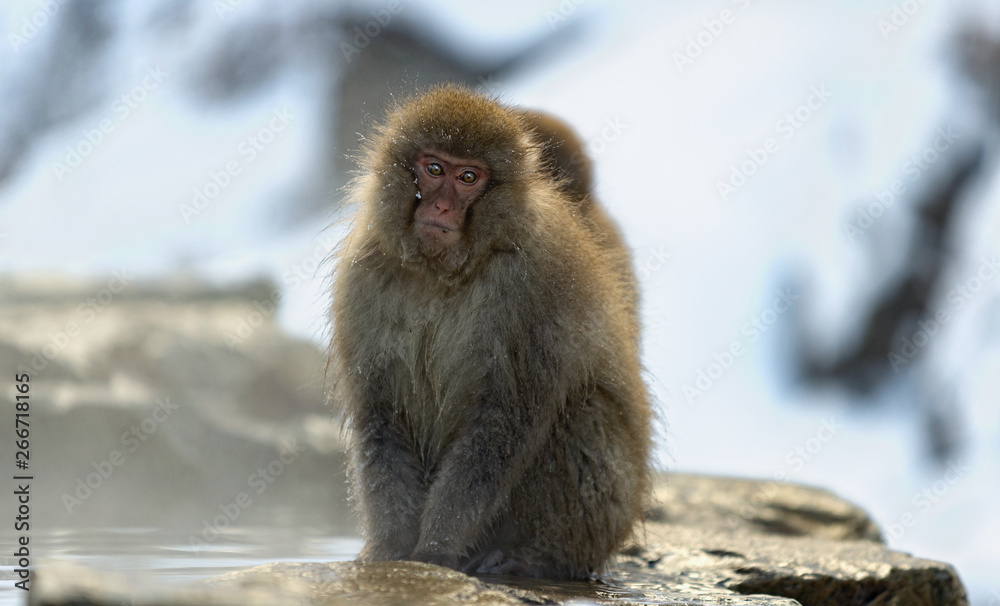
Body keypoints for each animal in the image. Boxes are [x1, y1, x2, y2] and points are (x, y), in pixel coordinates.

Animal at [329, 84, 652, 580]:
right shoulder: (364, 271)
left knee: (582, 411)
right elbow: (380, 415)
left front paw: (436, 549)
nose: (441, 206)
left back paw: (538, 557)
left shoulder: (533, 283)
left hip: (607, 518)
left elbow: (502, 423)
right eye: (434, 168)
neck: (444, 274)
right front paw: (388, 548)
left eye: (468, 178)